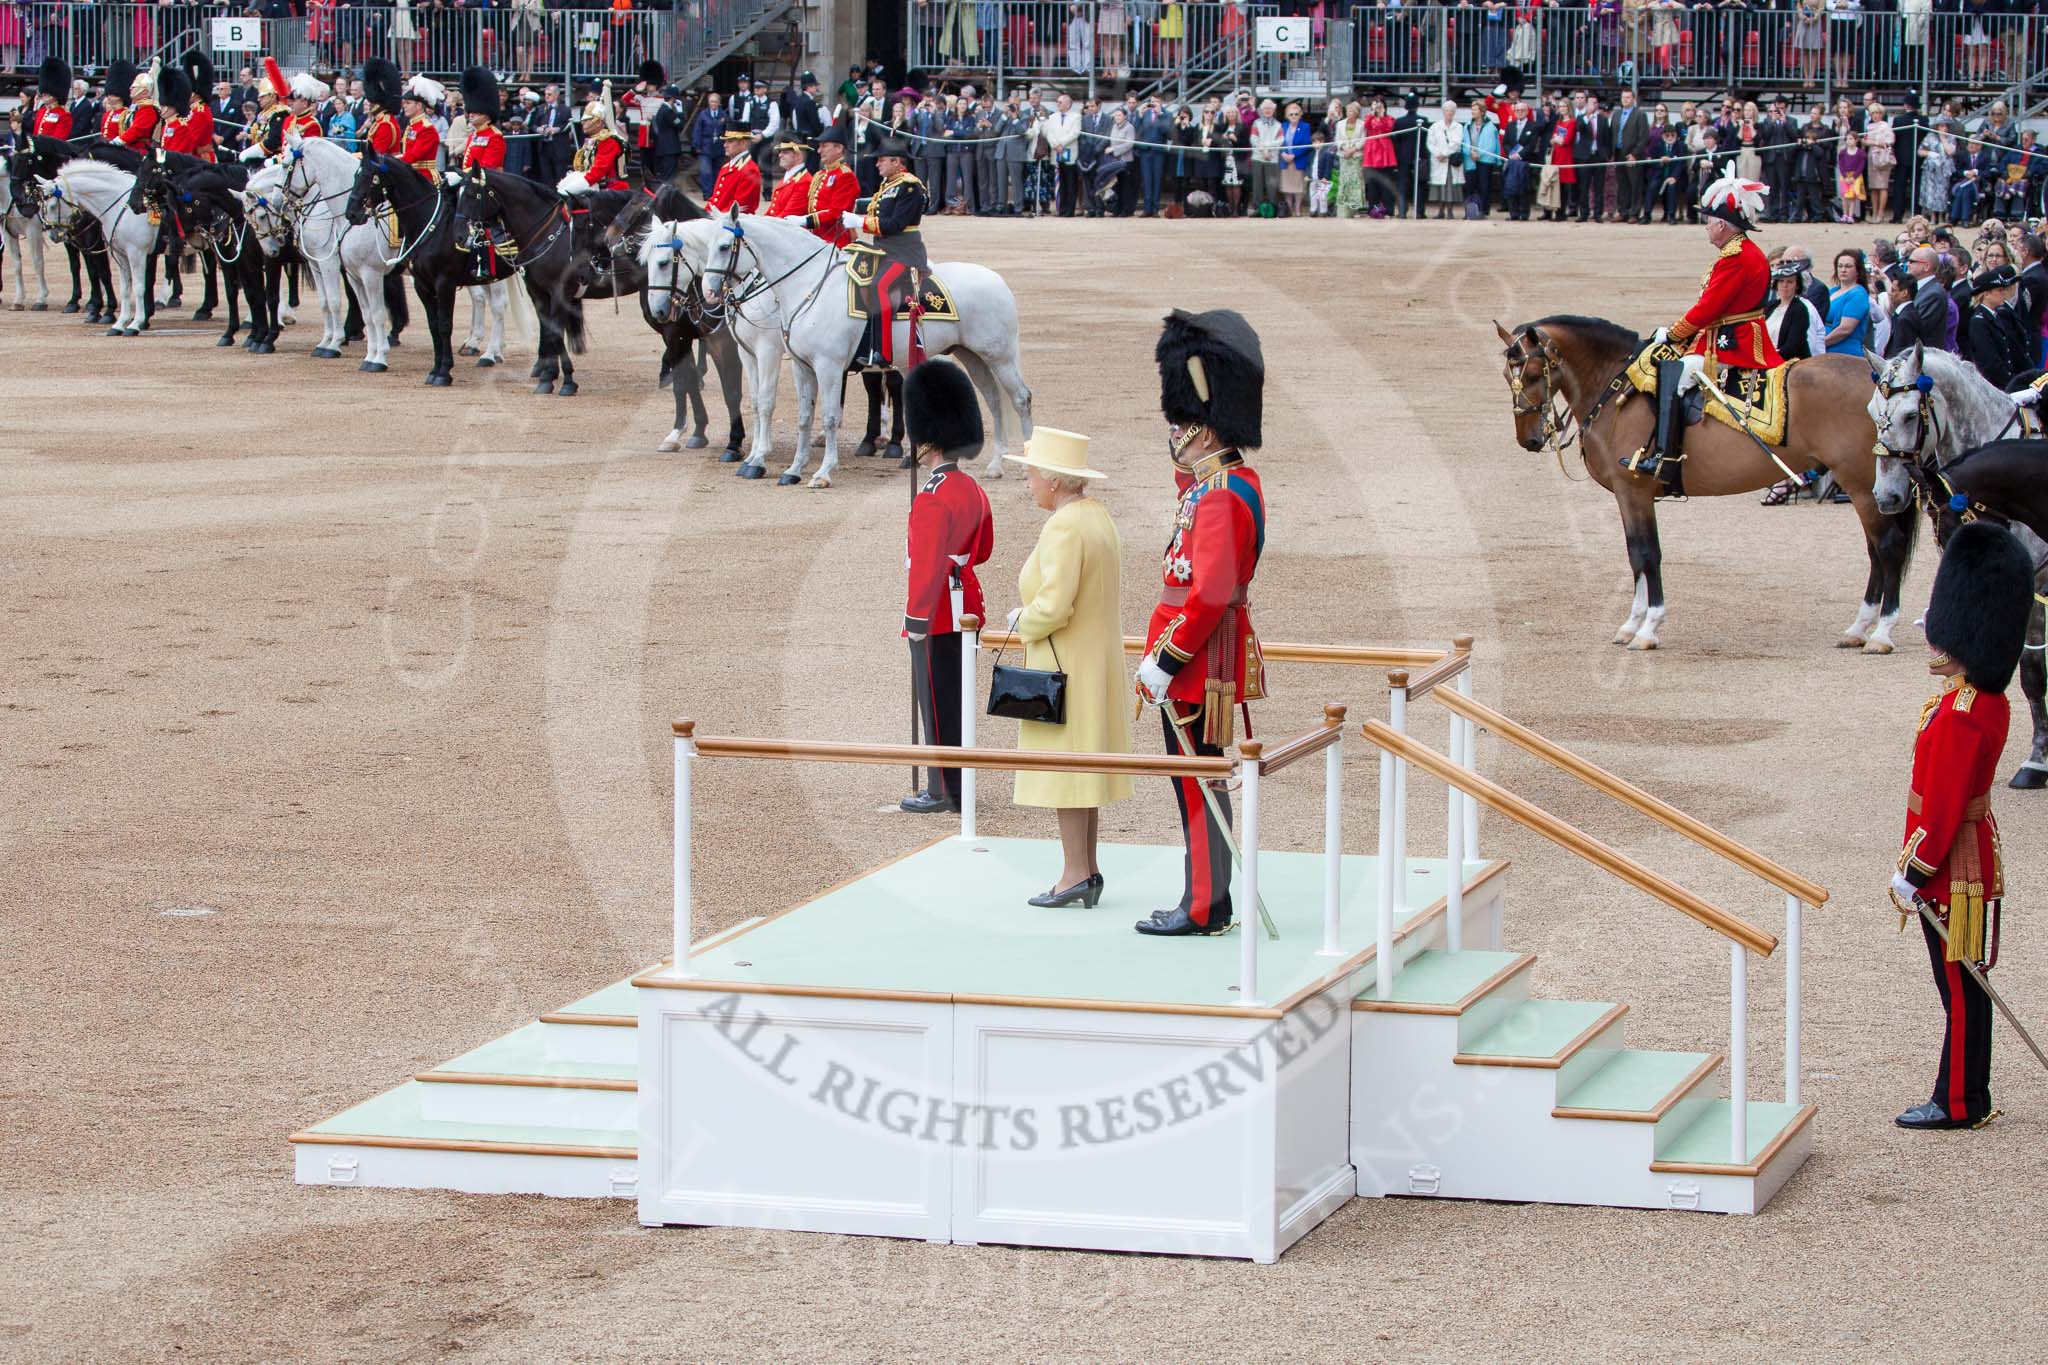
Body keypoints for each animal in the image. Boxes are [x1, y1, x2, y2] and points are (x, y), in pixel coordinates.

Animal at [348, 156, 516, 386]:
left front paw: (444, 372)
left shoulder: (443, 282)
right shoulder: (422, 285)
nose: (351, 213)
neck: (429, 223)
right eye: (356, 176)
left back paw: (490, 355)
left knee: (498, 307)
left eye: (369, 177)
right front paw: (435, 370)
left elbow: (444, 325)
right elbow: (433, 325)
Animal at [1499, 315, 1908, 650]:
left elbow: (1647, 554)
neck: (1616, 387)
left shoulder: (1634, 490)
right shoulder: (1627, 496)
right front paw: (1632, 624)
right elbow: (1635, 555)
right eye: (1507, 377)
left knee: (1887, 548)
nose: (1528, 439)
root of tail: (1881, 378)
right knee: (1875, 552)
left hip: (1863, 485)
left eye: (1532, 375)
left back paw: (1881, 633)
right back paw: (1858, 629)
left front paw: (1648, 628)